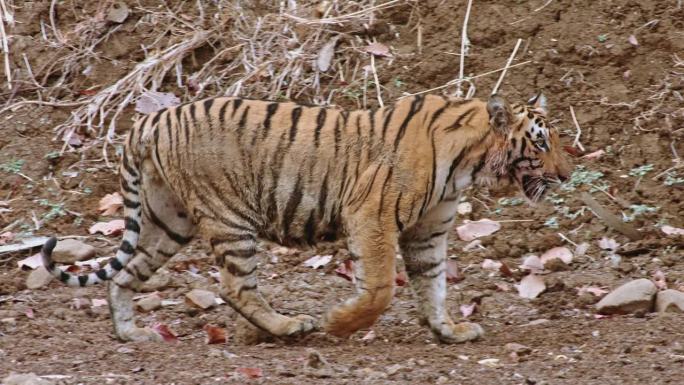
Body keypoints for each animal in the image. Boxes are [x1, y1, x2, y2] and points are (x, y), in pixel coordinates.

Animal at [40, 91, 568, 344]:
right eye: (541, 143)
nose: (566, 174)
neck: (470, 162)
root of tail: (147, 121)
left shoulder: (427, 231)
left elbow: (433, 285)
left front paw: (448, 332)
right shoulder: (371, 214)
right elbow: (380, 288)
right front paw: (339, 324)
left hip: (169, 220)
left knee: (124, 274)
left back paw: (131, 333)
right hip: (229, 217)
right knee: (235, 287)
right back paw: (291, 327)